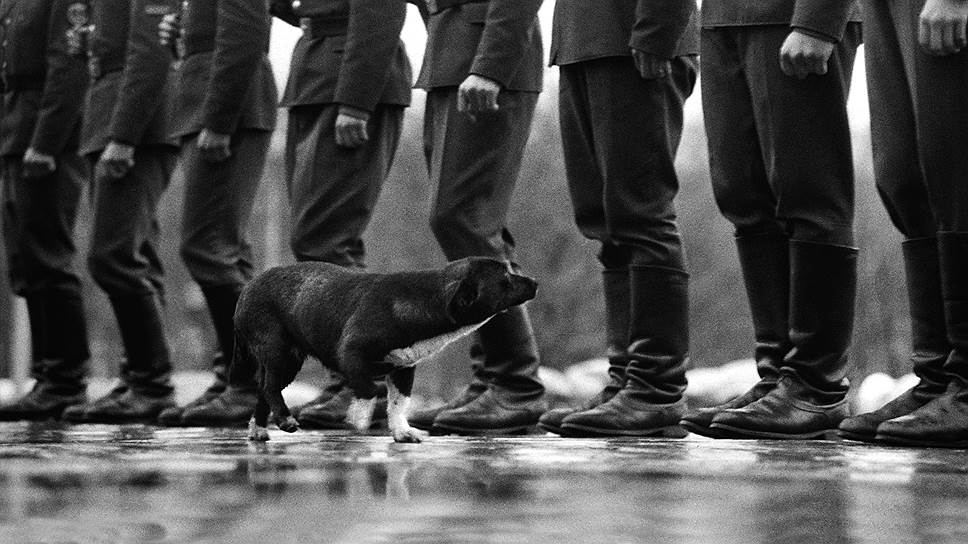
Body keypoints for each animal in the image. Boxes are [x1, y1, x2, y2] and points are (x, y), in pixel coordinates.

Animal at [234, 256, 536, 442]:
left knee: (264, 389)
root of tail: (247, 288)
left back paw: (259, 430)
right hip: (280, 352)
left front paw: (402, 432)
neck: (423, 300)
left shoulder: (404, 368)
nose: (535, 282)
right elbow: (370, 390)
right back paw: (285, 420)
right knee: (269, 386)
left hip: (286, 360)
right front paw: (358, 417)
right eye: (506, 278)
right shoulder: (351, 355)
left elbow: (398, 403)